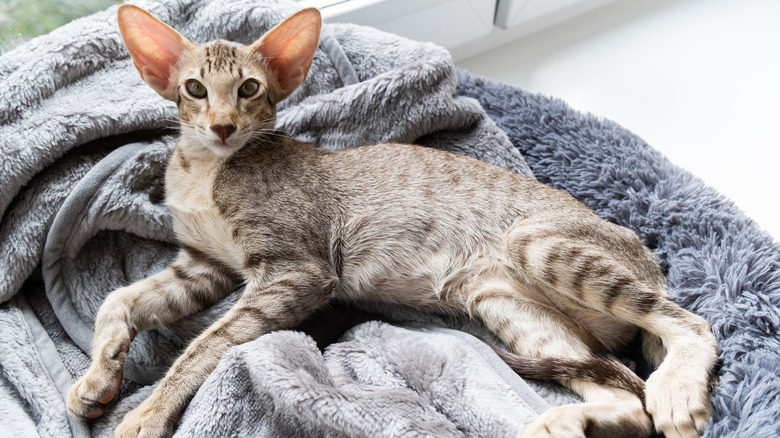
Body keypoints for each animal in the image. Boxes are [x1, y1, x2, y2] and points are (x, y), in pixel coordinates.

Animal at [65, 4, 720, 438]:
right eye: (195, 89)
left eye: (249, 88)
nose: (223, 125)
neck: (206, 167)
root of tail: (652, 261)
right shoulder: (204, 266)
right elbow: (118, 301)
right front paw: (98, 379)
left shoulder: (295, 272)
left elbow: (207, 344)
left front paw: (147, 414)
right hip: (502, 300)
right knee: (625, 399)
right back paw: (558, 423)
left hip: (532, 241)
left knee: (689, 326)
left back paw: (676, 391)